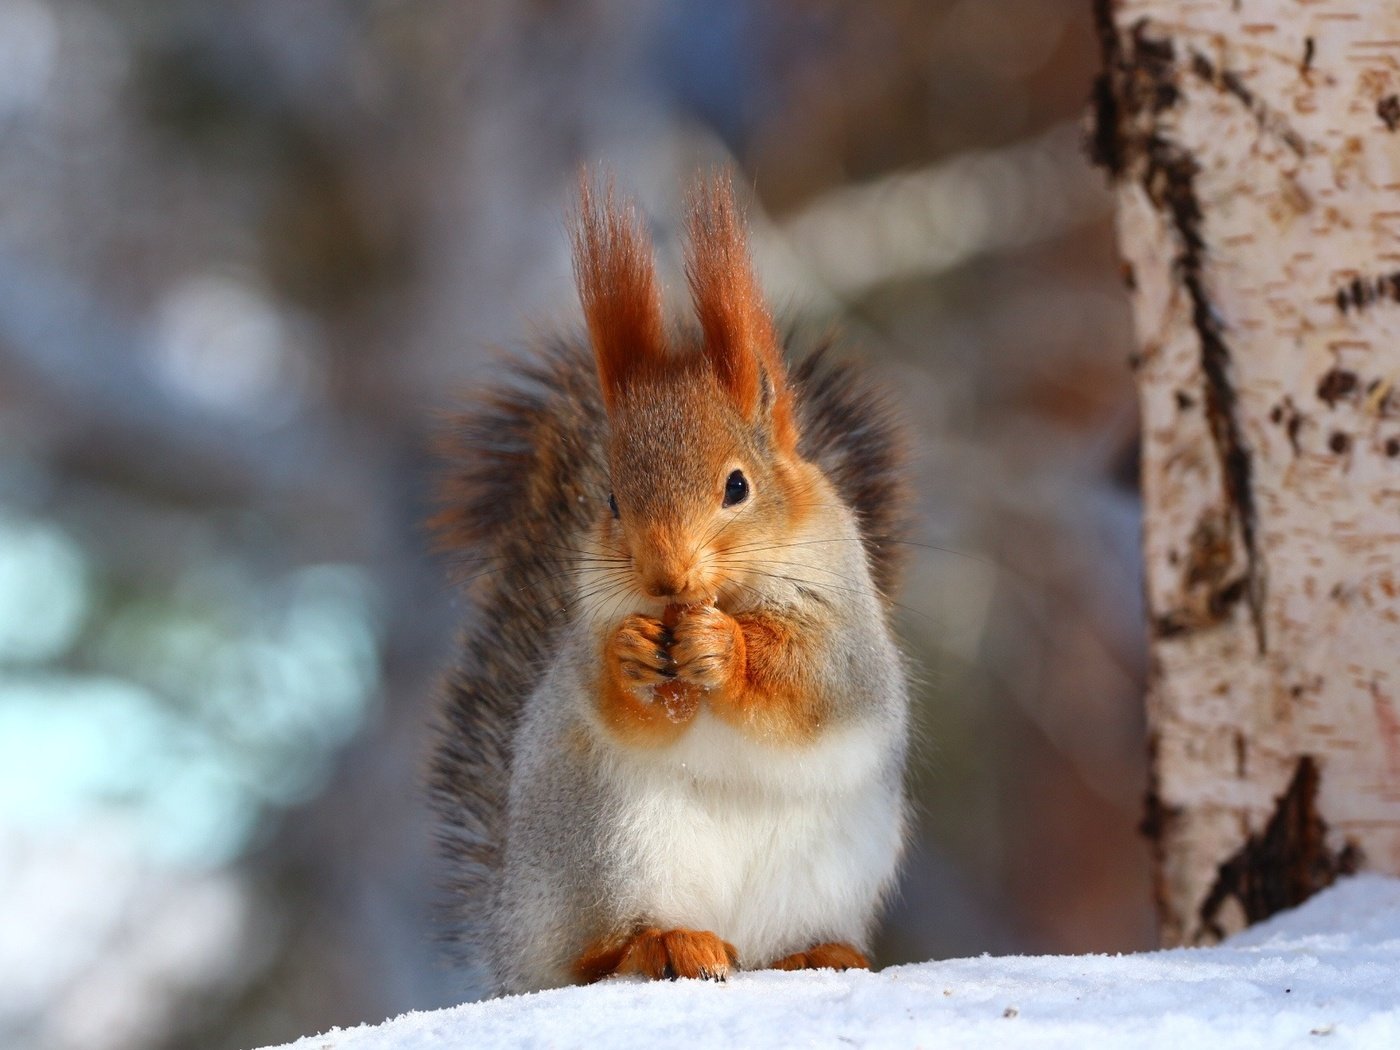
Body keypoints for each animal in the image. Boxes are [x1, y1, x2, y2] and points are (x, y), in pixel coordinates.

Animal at [436, 172, 918, 996]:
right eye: (610, 500)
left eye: (738, 486)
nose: (666, 576)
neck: (720, 596)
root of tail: (509, 942)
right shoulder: (590, 624)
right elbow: (614, 699)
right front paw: (633, 654)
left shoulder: (845, 627)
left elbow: (815, 683)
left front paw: (727, 649)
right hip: (610, 847)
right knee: (592, 958)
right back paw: (663, 943)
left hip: (828, 867)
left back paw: (820, 953)